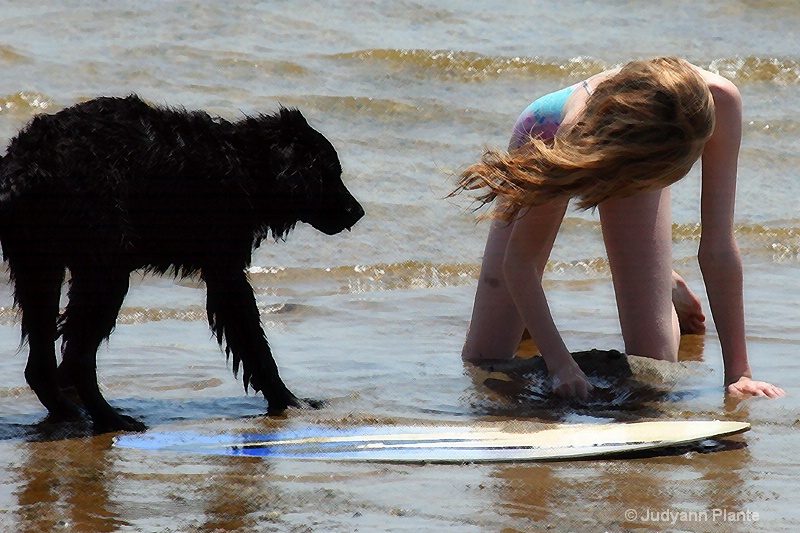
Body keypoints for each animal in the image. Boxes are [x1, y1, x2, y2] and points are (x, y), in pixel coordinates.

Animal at [0, 95, 362, 432]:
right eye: (330, 173)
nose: (358, 212)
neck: (246, 163)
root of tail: (24, 166)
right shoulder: (226, 272)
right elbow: (255, 346)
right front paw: (289, 400)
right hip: (104, 274)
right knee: (76, 359)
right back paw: (111, 419)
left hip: (42, 270)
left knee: (41, 366)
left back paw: (71, 413)